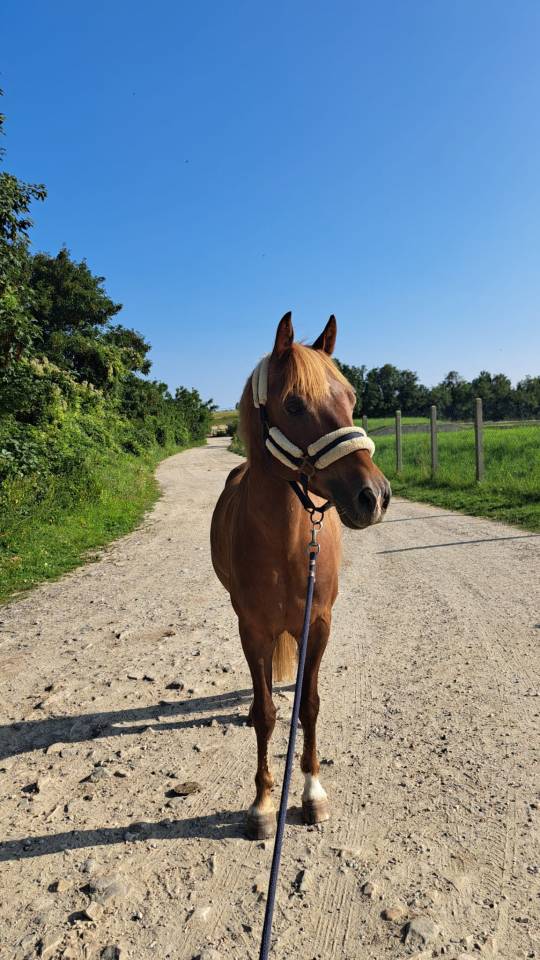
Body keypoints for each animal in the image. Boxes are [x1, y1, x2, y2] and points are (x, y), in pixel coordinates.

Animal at [210, 312, 391, 839]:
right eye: (293, 403)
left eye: (350, 397)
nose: (374, 496)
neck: (289, 545)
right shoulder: (253, 629)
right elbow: (267, 714)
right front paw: (262, 803)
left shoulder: (319, 623)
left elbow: (308, 704)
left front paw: (312, 792)